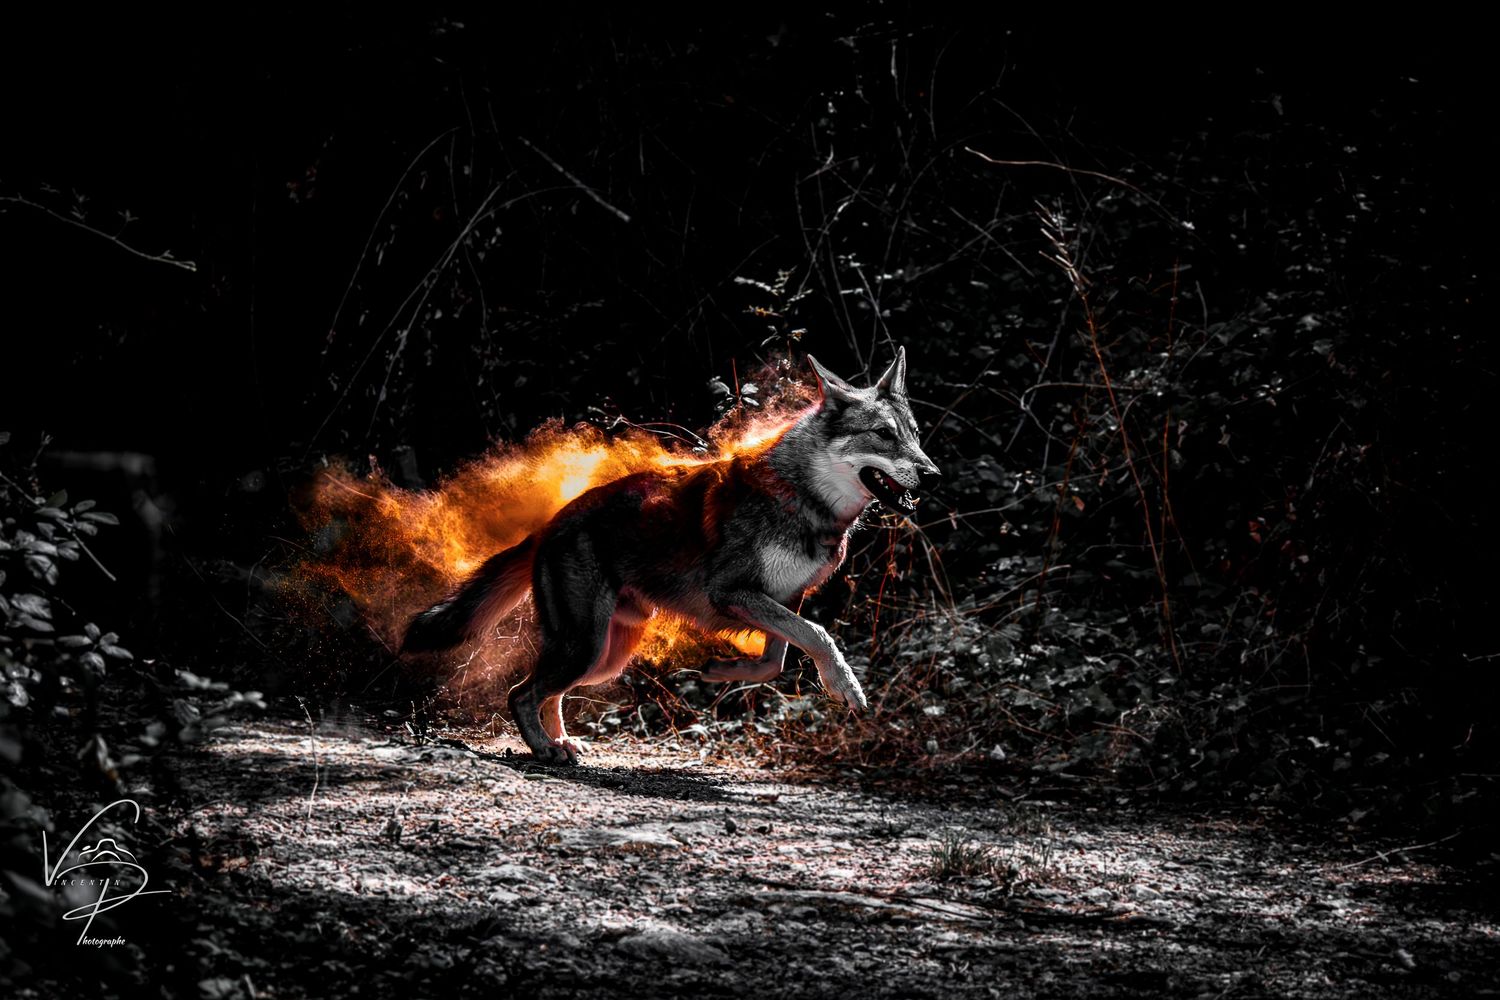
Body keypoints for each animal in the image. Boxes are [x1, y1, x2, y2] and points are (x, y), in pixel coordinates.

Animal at [401, 349, 939, 763]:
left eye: (915, 434)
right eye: (884, 435)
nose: (933, 475)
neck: (805, 498)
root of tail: (549, 524)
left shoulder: (784, 599)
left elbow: (779, 657)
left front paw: (726, 671)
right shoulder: (733, 592)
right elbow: (818, 637)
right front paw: (845, 685)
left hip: (604, 657)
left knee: (544, 693)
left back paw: (562, 743)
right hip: (586, 648)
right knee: (520, 693)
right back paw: (545, 750)